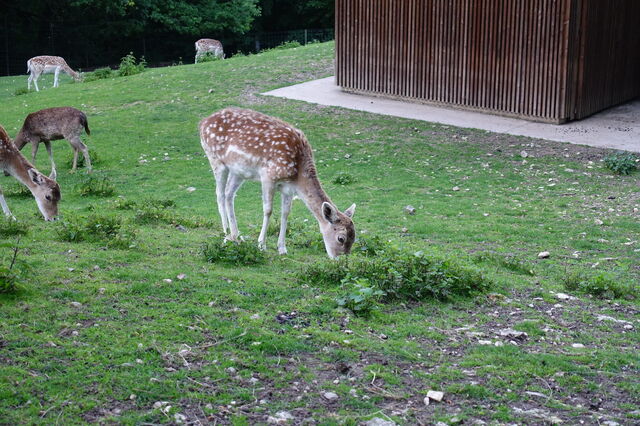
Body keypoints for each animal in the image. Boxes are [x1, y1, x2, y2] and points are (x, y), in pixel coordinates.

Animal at [199, 108, 356, 258]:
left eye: (354, 238)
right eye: (341, 238)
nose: (340, 259)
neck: (297, 174)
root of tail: (202, 123)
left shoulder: (288, 188)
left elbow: (285, 212)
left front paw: (282, 248)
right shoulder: (268, 176)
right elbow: (268, 210)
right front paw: (261, 245)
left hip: (238, 171)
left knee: (229, 194)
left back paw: (236, 236)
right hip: (216, 160)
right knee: (219, 194)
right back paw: (226, 235)